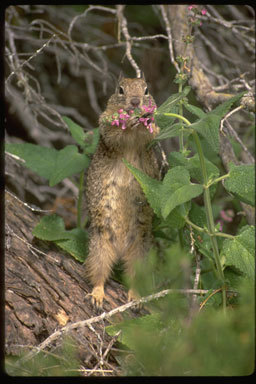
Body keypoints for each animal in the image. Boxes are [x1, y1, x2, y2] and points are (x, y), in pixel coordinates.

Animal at [85, 75, 159, 308]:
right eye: (120, 90)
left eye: (146, 90)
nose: (135, 102)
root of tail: (120, 249)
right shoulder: (105, 122)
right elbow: (113, 133)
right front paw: (128, 123)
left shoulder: (152, 136)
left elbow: (153, 133)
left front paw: (146, 121)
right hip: (99, 246)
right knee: (98, 273)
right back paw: (98, 293)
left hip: (140, 253)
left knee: (135, 277)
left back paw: (135, 296)